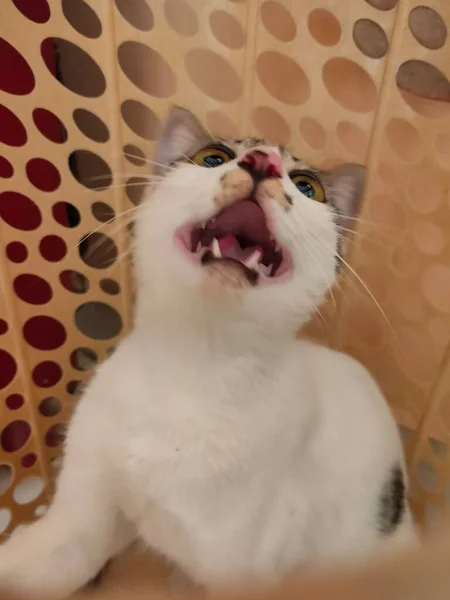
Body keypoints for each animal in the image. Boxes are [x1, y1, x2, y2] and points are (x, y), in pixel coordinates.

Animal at [0, 105, 414, 596]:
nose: (261, 162)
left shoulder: (240, 569)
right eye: (212, 158)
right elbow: (48, 560)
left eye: (306, 186)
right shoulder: (78, 518)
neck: (194, 363)